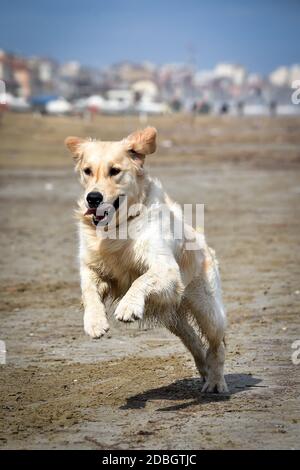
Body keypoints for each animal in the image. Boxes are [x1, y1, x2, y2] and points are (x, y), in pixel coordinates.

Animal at [63, 127, 227, 392]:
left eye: (114, 171)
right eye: (87, 171)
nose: (93, 198)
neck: (117, 228)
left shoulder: (166, 267)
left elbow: (141, 280)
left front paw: (127, 307)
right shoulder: (91, 267)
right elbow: (88, 290)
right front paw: (94, 323)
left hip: (208, 310)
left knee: (217, 343)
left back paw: (215, 382)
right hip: (174, 316)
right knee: (193, 340)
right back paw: (205, 372)